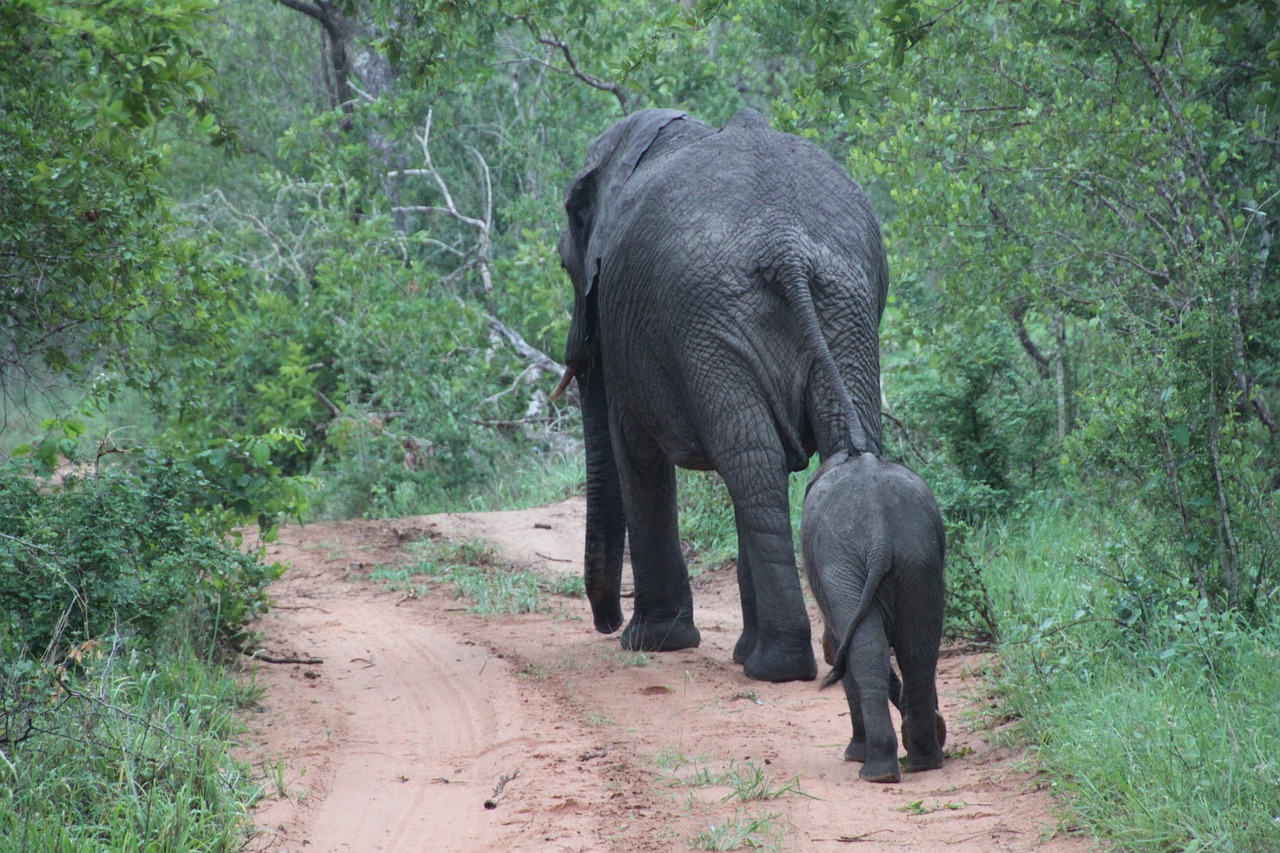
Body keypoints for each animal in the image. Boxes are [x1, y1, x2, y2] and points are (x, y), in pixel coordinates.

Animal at [550, 108, 890, 676]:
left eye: (564, 262)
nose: (607, 623)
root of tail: (785, 247)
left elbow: (634, 450)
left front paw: (650, 642)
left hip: (709, 320)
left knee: (749, 459)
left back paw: (775, 667)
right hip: (840, 310)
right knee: (793, 452)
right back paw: (818, 654)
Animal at [803, 448, 947, 778]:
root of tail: (879, 537)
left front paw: (855, 755)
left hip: (844, 566)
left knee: (864, 653)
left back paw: (876, 772)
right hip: (917, 561)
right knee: (917, 651)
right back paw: (925, 761)